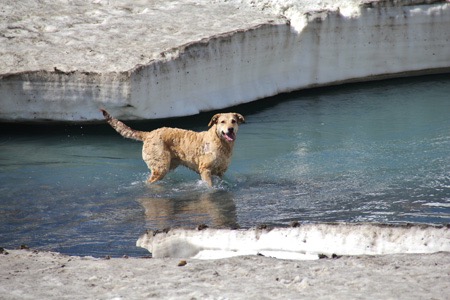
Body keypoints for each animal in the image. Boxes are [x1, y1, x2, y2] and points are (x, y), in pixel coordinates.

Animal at [100, 109, 244, 186]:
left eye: (233, 121)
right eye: (222, 122)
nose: (230, 129)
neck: (221, 143)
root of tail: (149, 134)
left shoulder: (220, 172)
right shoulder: (205, 170)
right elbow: (209, 186)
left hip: (167, 165)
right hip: (160, 167)